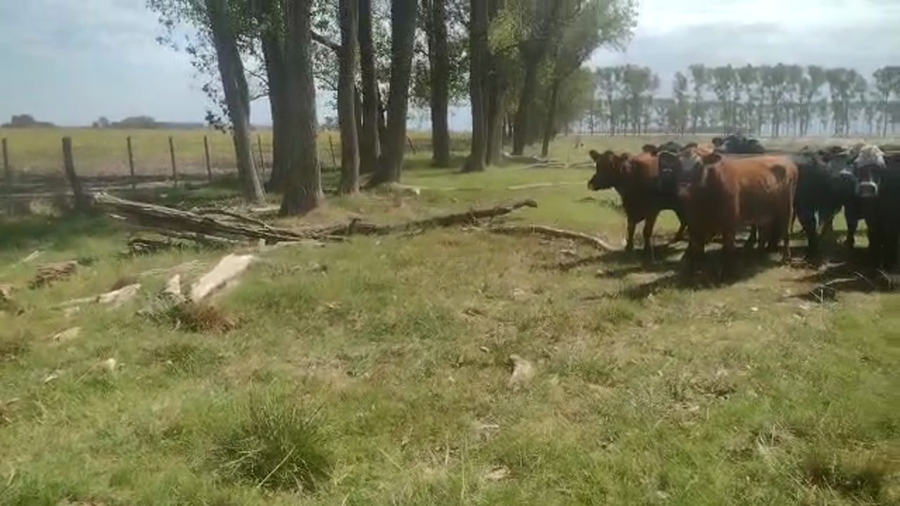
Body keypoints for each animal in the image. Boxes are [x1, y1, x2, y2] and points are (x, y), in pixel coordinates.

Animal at [660, 148, 799, 278]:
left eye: (699, 166)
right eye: (676, 165)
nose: (683, 190)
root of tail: (787, 162)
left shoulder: (730, 223)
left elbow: (728, 248)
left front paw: (727, 271)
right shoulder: (694, 224)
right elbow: (696, 249)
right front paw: (693, 271)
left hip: (786, 208)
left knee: (785, 233)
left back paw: (785, 257)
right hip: (764, 212)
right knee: (764, 231)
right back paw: (759, 253)